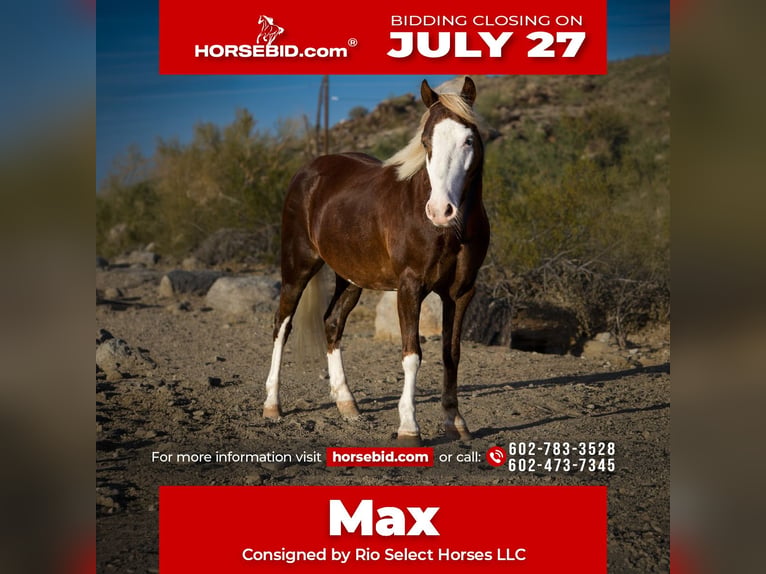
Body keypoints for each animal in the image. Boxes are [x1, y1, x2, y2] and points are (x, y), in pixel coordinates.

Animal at [263, 76, 490, 443]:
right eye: (426, 142)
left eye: (468, 140)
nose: (440, 210)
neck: (449, 230)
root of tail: (309, 171)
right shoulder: (410, 287)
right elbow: (412, 355)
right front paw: (409, 427)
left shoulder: (461, 292)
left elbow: (451, 353)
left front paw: (455, 421)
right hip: (297, 267)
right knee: (282, 325)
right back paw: (272, 405)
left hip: (351, 278)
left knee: (332, 323)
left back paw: (347, 404)